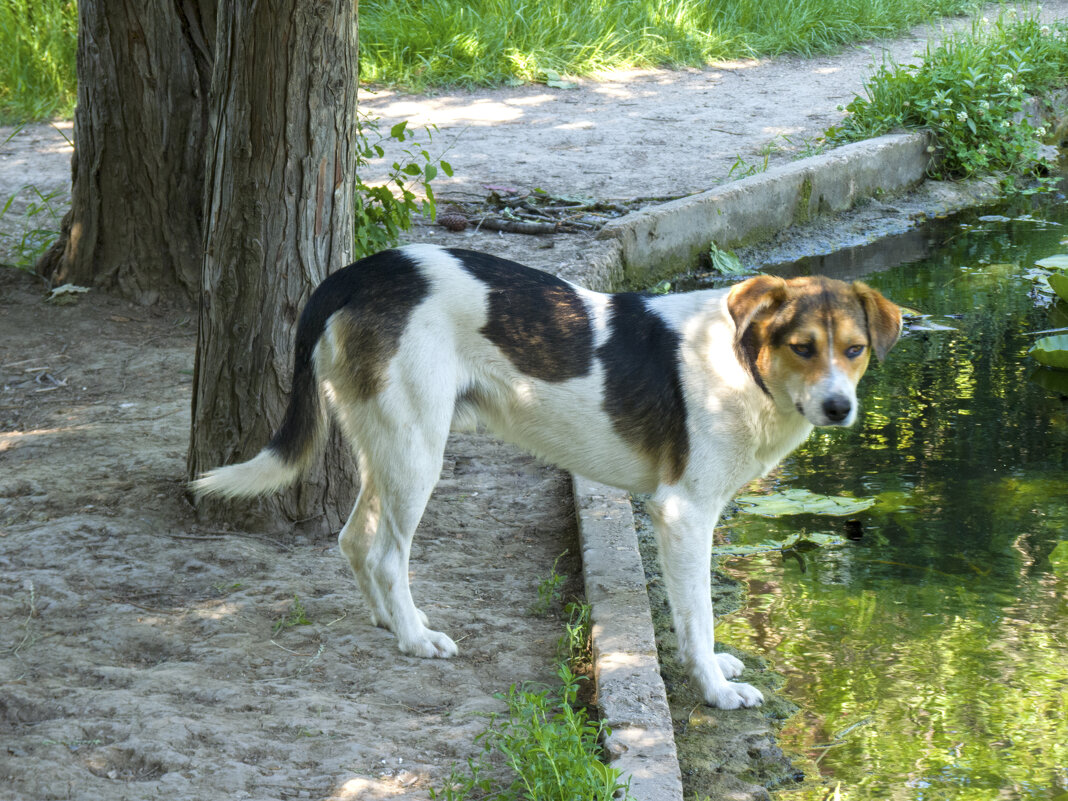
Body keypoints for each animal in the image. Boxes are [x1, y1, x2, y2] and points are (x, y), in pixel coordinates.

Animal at [194, 244, 901, 709]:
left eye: (855, 350)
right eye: (803, 347)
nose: (839, 408)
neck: (742, 361)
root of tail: (362, 270)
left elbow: (696, 617)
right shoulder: (683, 515)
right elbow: (696, 616)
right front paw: (718, 690)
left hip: (387, 445)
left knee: (354, 541)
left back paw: (391, 623)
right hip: (418, 452)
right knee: (390, 554)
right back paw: (417, 640)